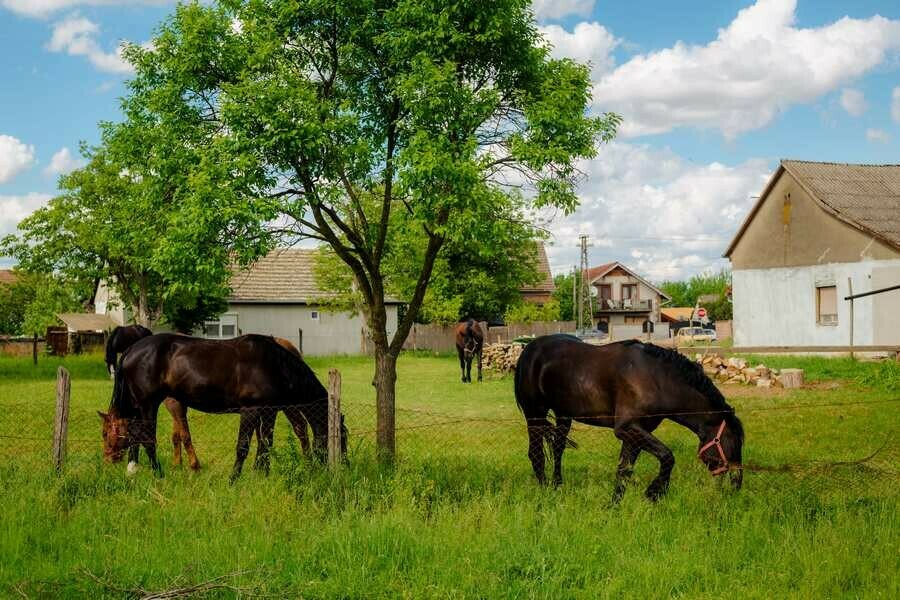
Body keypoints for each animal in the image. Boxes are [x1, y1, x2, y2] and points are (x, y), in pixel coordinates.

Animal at [102, 336, 344, 480]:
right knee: (147, 439)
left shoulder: (269, 410)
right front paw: (234, 479)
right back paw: (159, 474)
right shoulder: (250, 411)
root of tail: (131, 350)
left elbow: (265, 443)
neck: (273, 364)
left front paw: (262, 475)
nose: (343, 464)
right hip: (147, 404)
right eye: (343, 437)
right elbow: (243, 446)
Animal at [516, 332, 740, 502]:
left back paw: (557, 486)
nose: (737, 484)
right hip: (535, 414)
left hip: (563, 415)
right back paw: (545, 491)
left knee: (557, 449)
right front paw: (654, 492)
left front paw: (614, 506)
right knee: (536, 454)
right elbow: (667, 455)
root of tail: (529, 349)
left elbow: (624, 470)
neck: (656, 378)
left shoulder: (636, 433)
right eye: (732, 444)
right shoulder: (626, 428)